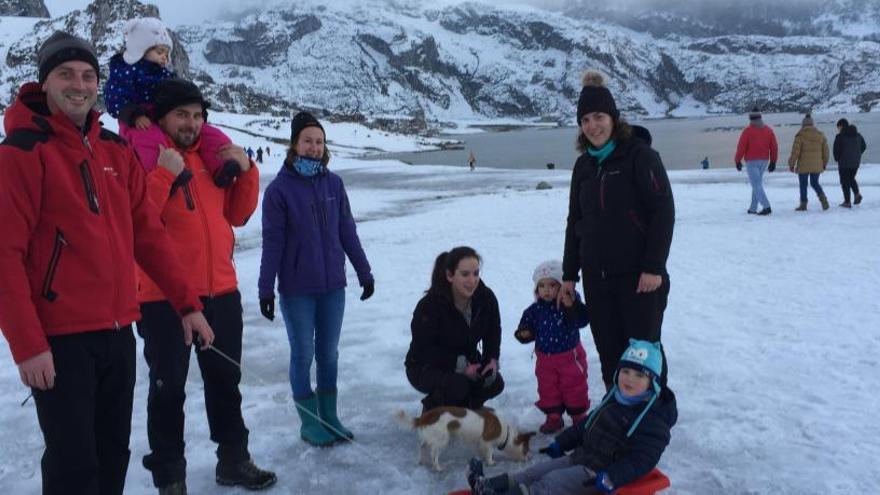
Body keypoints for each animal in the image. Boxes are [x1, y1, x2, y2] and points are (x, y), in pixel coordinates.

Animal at [394, 406, 536, 472]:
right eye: (526, 450)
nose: (527, 459)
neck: (506, 432)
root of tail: (427, 416)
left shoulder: (481, 443)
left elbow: (482, 451)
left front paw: (482, 459)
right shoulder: (487, 441)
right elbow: (489, 453)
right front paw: (490, 462)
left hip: (430, 437)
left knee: (422, 447)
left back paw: (421, 460)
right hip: (442, 440)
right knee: (434, 455)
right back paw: (438, 467)